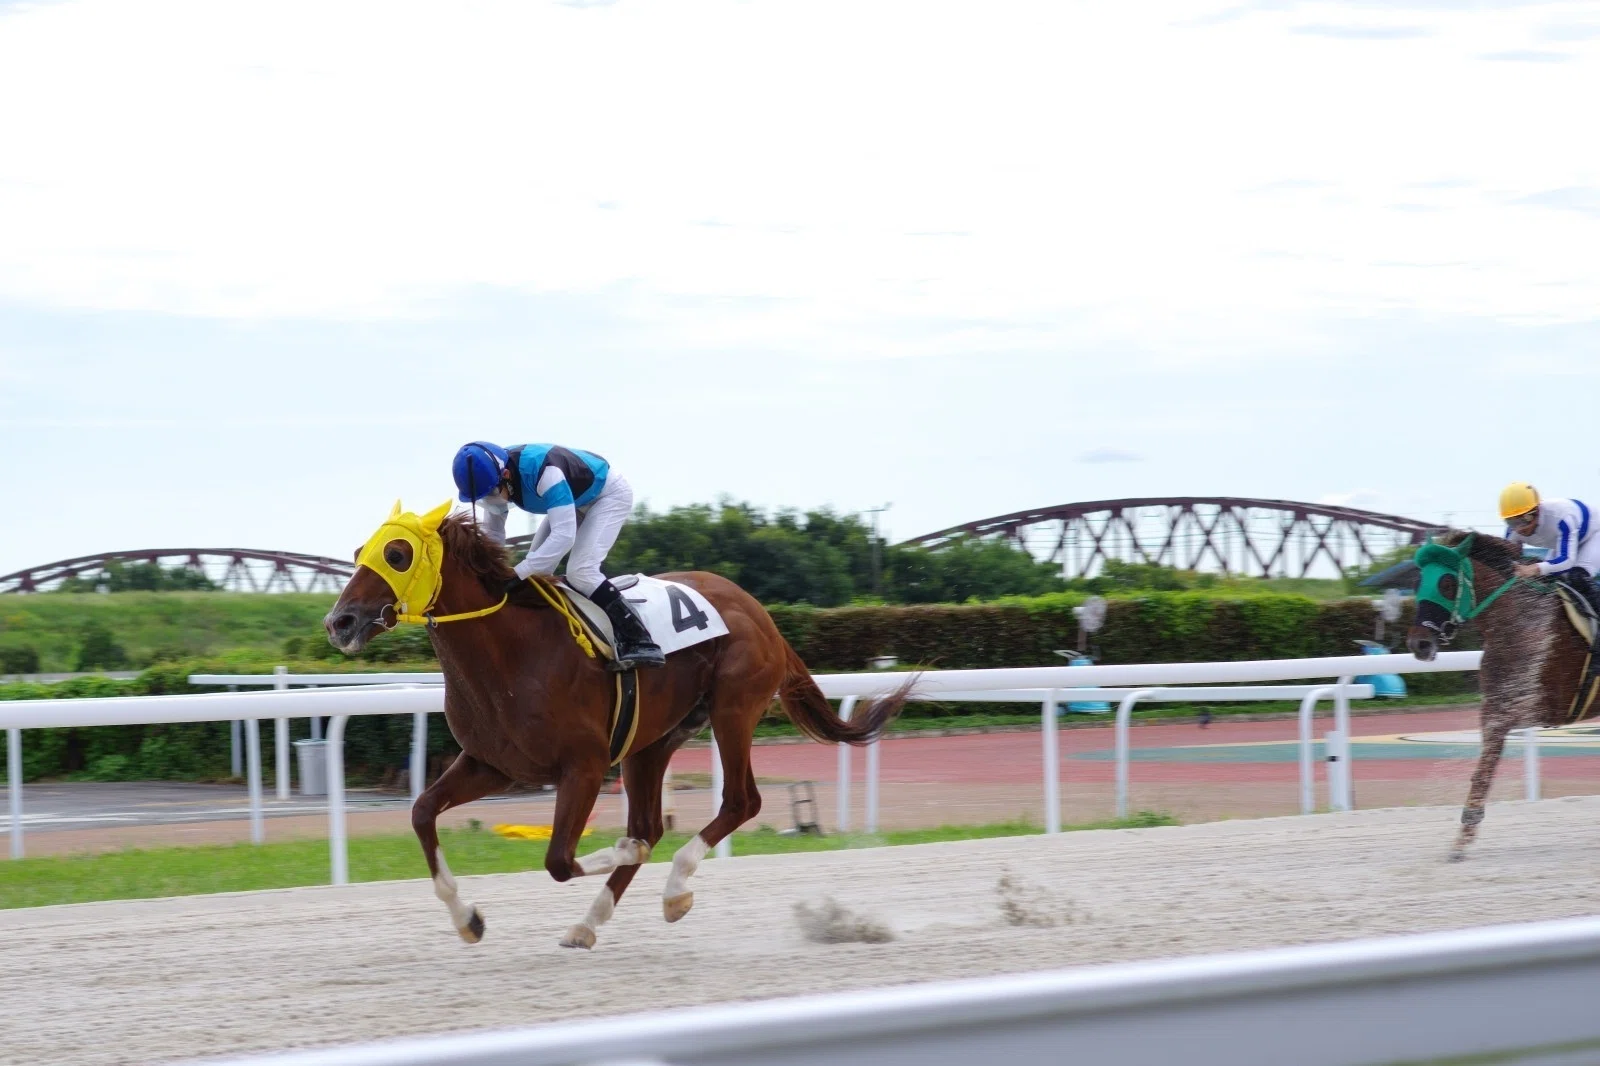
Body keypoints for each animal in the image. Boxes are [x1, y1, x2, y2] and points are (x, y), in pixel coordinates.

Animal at [322, 501, 912, 949]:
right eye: (358, 553)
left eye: (396, 555)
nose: (339, 622)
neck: (512, 653)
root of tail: (758, 610)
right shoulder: (493, 765)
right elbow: (422, 813)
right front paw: (468, 919)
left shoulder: (582, 767)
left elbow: (560, 859)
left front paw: (628, 854)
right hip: (650, 743)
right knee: (653, 822)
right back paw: (589, 924)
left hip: (732, 709)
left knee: (740, 802)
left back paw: (673, 889)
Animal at [1406, 530, 1590, 860]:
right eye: (1417, 583)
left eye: (1446, 583)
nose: (1420, 644)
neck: (1519, 625)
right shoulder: (1494, 705)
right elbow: (1484, 766)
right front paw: (1463, 837)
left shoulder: (1528, 704)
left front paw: (1463, 837)